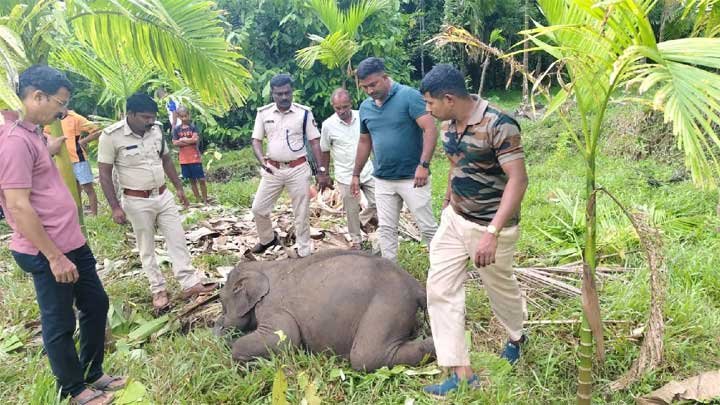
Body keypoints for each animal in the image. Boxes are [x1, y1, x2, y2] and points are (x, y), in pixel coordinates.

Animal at [215, 249, 435, 371]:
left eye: (222, 303)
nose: (217, 325)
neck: (264, 266)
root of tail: (416, 286)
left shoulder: (272, 307)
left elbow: (284, 339)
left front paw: (232, 348)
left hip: (388, 305)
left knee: (366, 356)